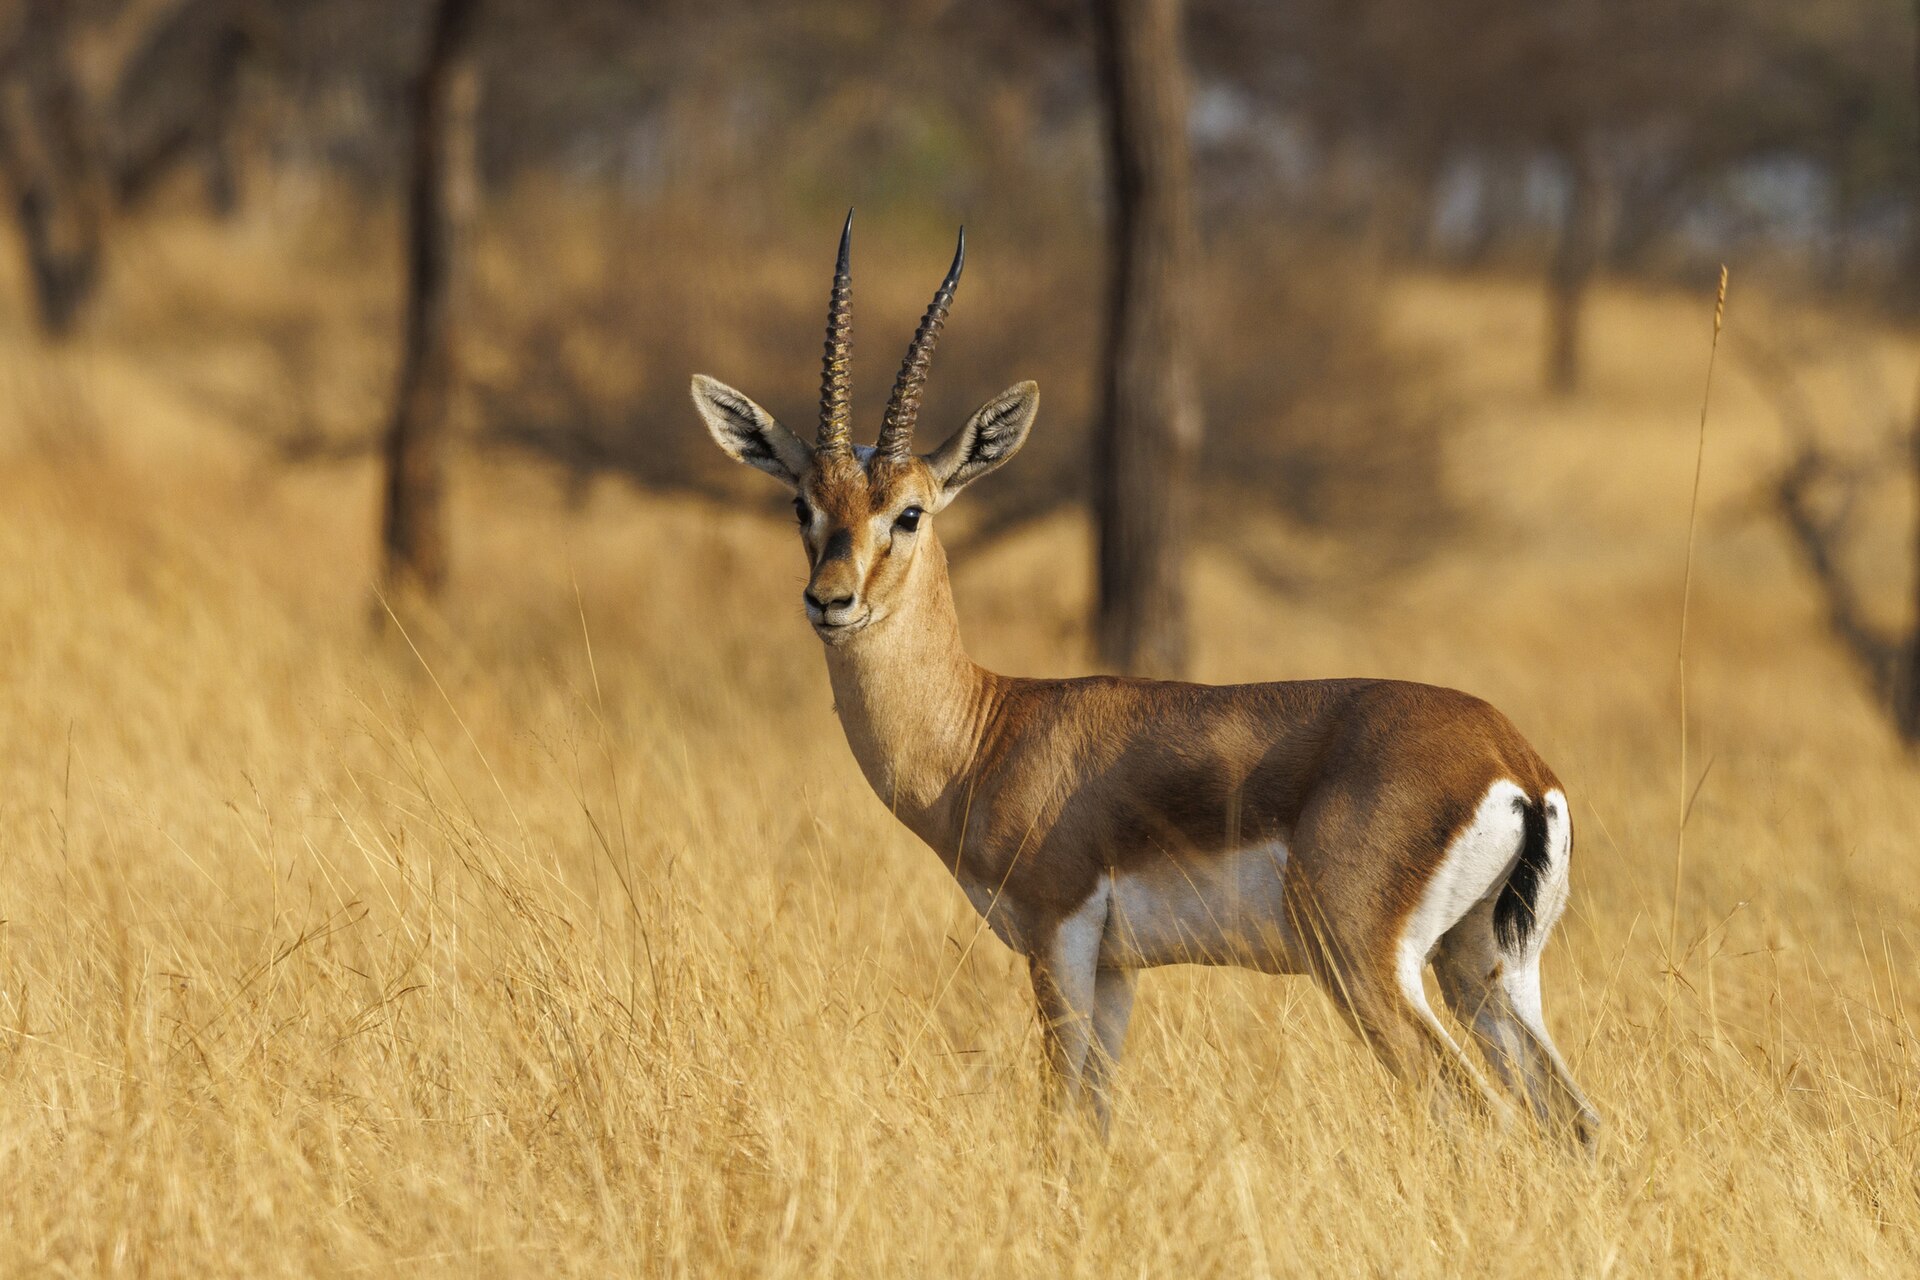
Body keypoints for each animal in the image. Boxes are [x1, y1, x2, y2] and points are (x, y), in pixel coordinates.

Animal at [691, 213, 1599, 1147]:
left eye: (908, 512)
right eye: (802, 504)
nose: (829, 601)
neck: (988, 730)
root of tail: (1516, 764)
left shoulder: (1059, 938)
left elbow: (1060, 1114)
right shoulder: (1117, 970)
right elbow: (1096, 1116)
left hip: (1366, 965)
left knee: (1477, 1113)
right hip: (1483, 972)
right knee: (1575, 1122)